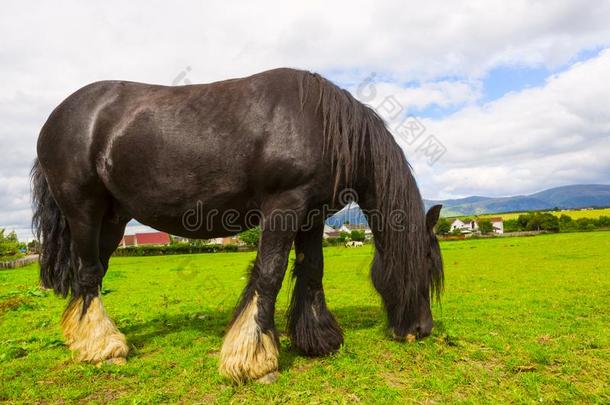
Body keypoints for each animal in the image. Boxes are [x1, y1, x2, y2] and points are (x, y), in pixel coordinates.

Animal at [30, 67, 442, 382]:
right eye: (424, 265)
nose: (421, 330)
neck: (323, 125)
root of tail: (54, 118)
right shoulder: (283, 207)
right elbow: (270, 273)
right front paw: (254, 361)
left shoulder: (310, 216)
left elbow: (311, 271)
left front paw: (318, 340)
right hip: (84, 212)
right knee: (88, 273)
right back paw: (103, 348)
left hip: (113, 220)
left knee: (93, 275)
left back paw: (85, 339)